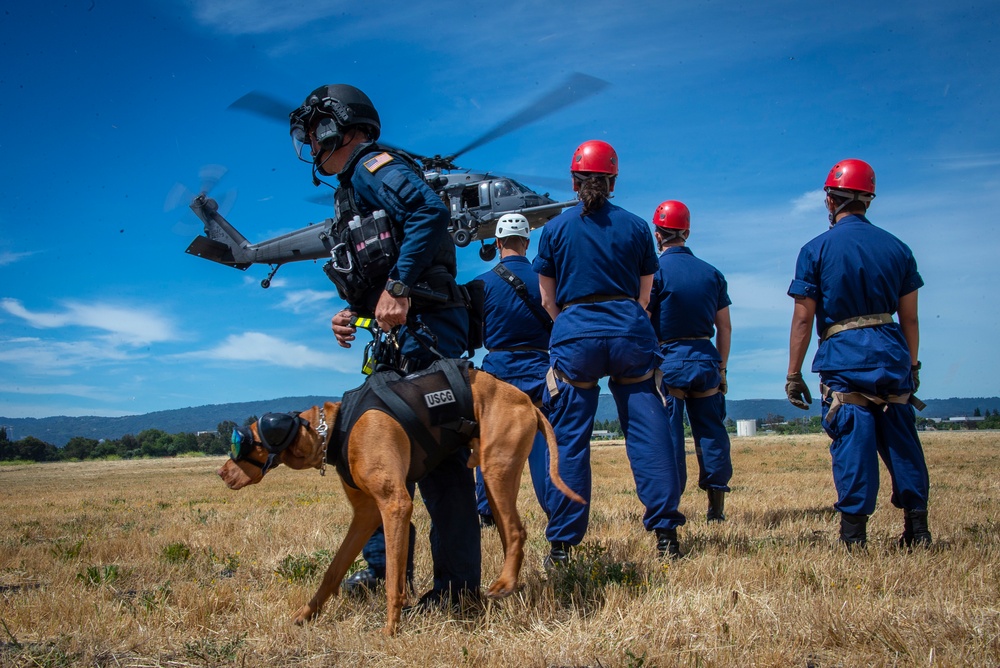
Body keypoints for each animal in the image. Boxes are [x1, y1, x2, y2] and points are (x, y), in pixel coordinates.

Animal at [215, 368, 584, 636]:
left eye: (240, 442)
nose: (220, 472)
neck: (332, 430)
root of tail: (527, 401)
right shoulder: (365, 515)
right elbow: (332, 572)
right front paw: (305, 615)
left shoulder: (395, 505)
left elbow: (394, 578)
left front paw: (390, 629)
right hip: (494, 481)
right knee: (510, 536)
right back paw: (506, 586)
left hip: (496, 471)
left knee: (517, 531)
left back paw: (505, 585)